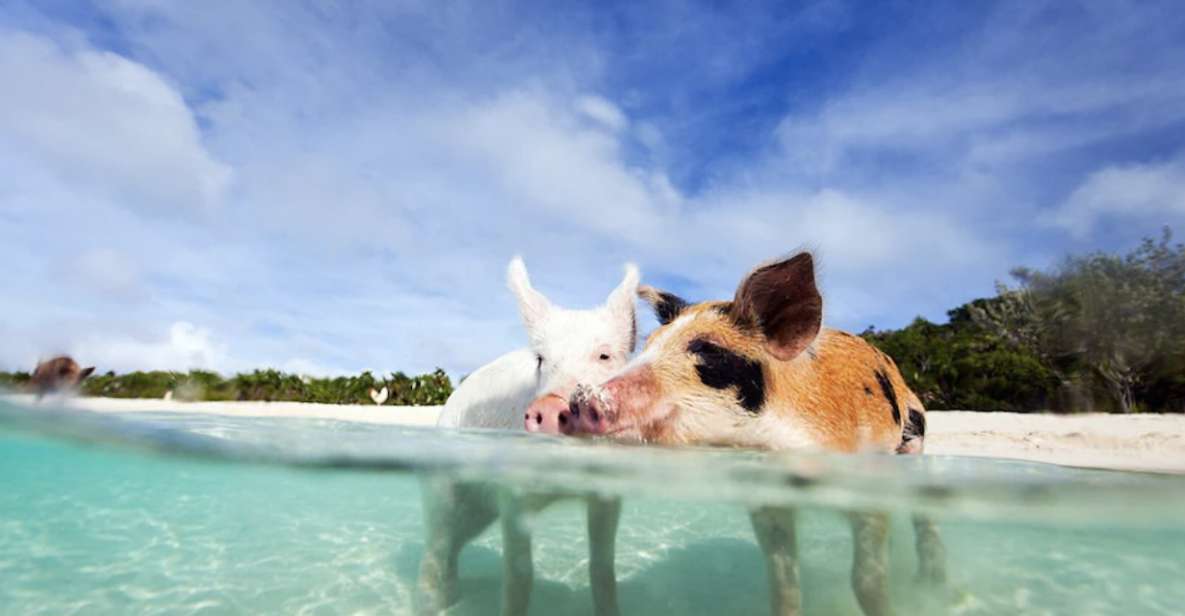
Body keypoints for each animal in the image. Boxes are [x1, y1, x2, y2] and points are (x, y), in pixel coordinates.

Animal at [417, 255, 639, 616]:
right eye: (541, 360)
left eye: (604, 355)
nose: (549, 405)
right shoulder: (513, 494)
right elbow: (520, 576)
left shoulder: (607, 495)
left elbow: (603, 570)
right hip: (443, 486)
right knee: (437, 547)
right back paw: (436, 603)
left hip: (478, 512)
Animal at [561, 252, 943, 616]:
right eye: (649, 344)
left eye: (707, 349)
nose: (579, 401)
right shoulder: (767, 504)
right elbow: (783, 582)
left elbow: (866, 579)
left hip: (914, 441)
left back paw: (929, 585)